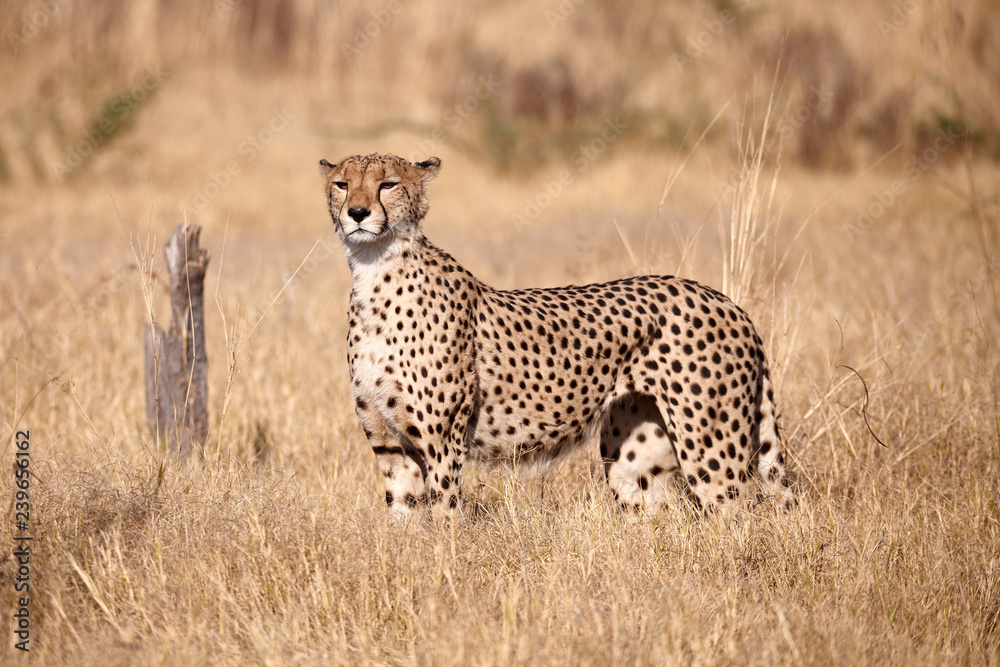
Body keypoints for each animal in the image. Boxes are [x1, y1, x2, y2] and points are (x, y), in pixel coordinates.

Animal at [320, 153, 793, 521]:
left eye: (388, 185)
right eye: (343, 184)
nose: (357, 213)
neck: (374, 269)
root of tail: (726, 300)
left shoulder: (442, 444)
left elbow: (445, 516)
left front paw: (445, 567)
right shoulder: (391, 449)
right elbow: (404, 522)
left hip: (711, 449)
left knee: (740, 519)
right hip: (632, 458)